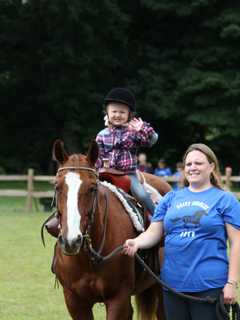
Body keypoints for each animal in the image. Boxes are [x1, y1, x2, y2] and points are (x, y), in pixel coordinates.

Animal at [51, 140, 170, 320]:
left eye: (92, 188)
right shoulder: (74, 300)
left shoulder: (118, 298)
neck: (89, 259)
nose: (71, 241)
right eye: (57, 187)